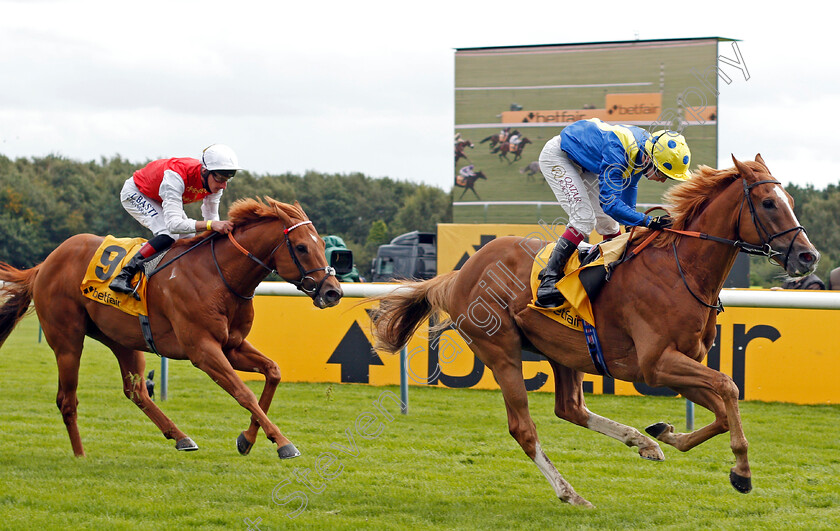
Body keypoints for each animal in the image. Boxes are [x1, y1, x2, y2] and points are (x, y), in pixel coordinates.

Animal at [0, 197, 342, 460]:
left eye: (322, 244)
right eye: (301, 247)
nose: (333, 292)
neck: (220, 276)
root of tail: (45, 264)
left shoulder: (231, 345)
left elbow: (272, 372)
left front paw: (247, 439)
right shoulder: (202, 350)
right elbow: (243, 391)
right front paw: (284, 443)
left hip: (122, 339)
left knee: (136, 390)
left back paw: (180, 437)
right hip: (67, 341)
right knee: (67, 400)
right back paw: (80, 454)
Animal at [372, 155, 820, 508]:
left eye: (792, 202)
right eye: (768, 203)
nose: (807, 256)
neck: (681, 271)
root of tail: (462, 272)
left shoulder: (681, 365)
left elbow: (725, 410)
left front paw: (666, 434)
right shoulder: (658, 364)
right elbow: (728, 387)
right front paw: (741, 471)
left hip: (564, 352)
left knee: (570, 408)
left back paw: (642, 442)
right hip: (501, 352)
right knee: (524, 428)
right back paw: (571, 493)